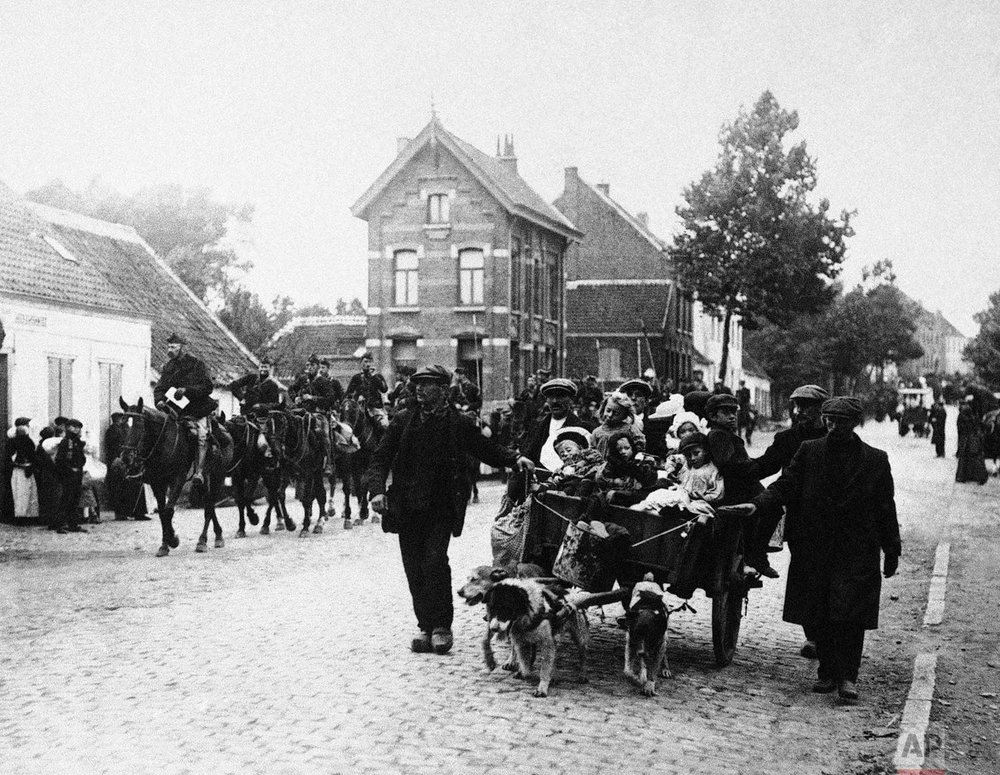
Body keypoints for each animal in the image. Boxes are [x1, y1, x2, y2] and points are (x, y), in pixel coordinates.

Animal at [118, 400, 233, 556]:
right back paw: (218, 536)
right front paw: (166, 543)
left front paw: (171, 540)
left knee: (209, 507)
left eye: (139, 425)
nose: (126, 457)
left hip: (217, 477)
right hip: (203, 484)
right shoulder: (157, 483)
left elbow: (168, 511)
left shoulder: (177, 481)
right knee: (209, 503)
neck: (164, 442)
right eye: (122, 423)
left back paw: (202, 541)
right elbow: (162, 513)